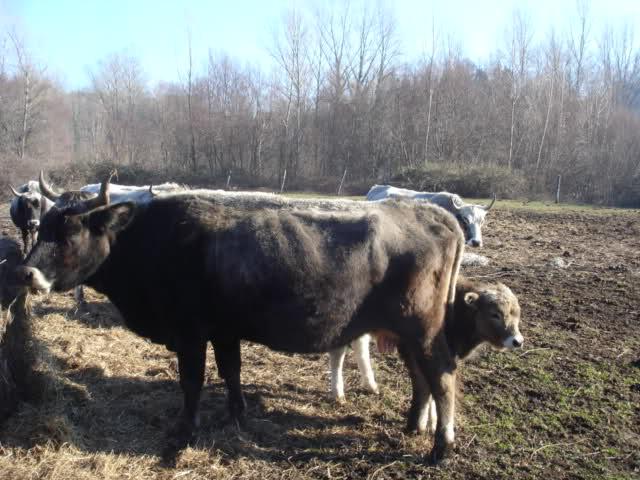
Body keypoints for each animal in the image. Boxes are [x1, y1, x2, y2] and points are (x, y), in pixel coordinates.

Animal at [332, 278, 524, 432]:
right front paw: (431, 424)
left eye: (517, 313)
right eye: (495, 314)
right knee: (338, 355)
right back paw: (338, 393)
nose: (518, 341)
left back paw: (370, 385)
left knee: (360, 345)